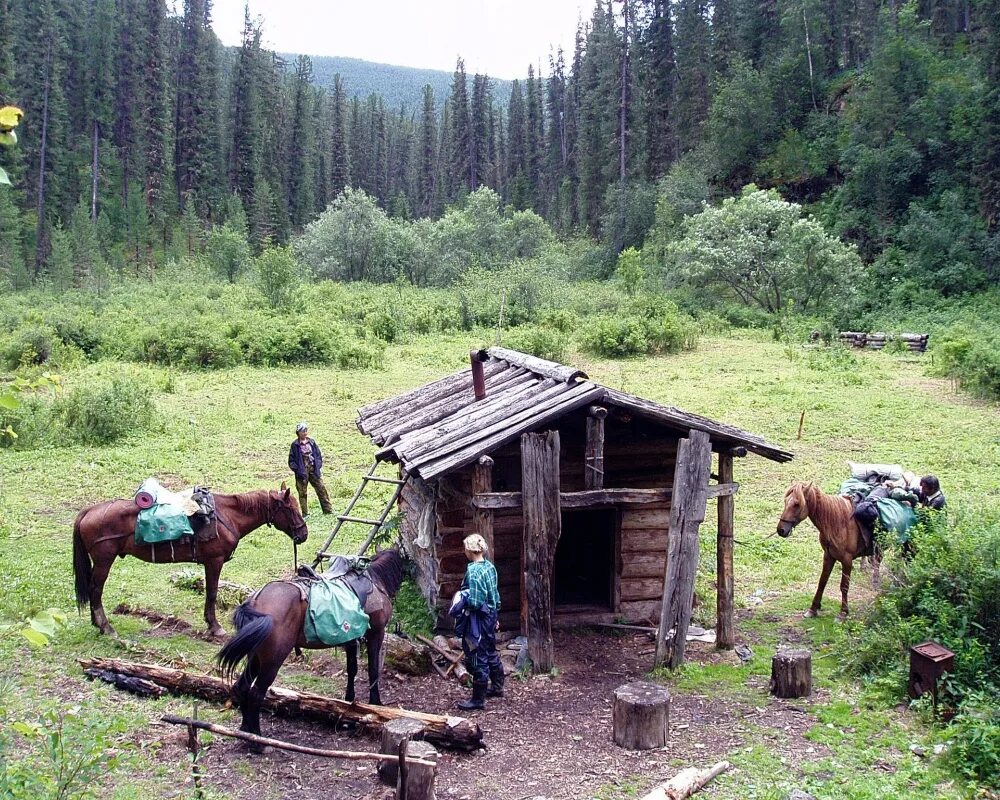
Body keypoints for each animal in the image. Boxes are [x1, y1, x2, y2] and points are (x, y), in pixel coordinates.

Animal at [73, 482, 306, 636]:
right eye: (290, 508)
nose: (303, 534)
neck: (227, 516)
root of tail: (89, 511)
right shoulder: (214, 561)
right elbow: (212, 593)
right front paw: (215, 627)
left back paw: (97, 623)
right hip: (104, 561)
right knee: (96, 589)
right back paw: (106, 627)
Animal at [218, 552, 406, 744]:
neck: (376, 581)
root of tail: (255, 601)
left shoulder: (351, 639)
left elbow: (352, 669)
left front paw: (349, 705)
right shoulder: (376, 634)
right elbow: (373, 670)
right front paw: (376, 704)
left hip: (256, 657)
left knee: (242, 687)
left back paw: (245, 731)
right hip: (273, 660)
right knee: (256, 694)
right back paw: (257, 740)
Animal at [772, 482, 868, 620]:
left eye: (797, 504)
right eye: (785, 501)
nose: (781, 530)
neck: (838, 522)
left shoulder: (847, 560)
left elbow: (844, 586)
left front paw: (843, 612)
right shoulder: (828, 556)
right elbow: (822, 582)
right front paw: (813, 609)